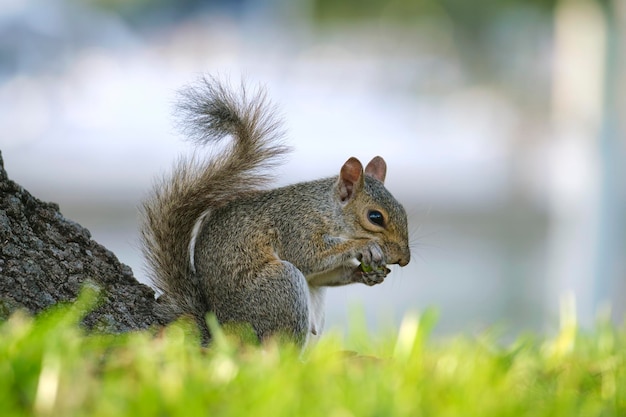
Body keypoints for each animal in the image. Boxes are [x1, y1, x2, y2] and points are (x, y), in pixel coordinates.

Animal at [141, 76, 412, 346]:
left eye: (403, 210)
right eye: (375, 217)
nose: (404, 259)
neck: (326, 210)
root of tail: (223, 336)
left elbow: (319, 275)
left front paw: (364, 275)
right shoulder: (296, 226)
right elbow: (307, 256)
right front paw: (364, 246)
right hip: (280, 287)